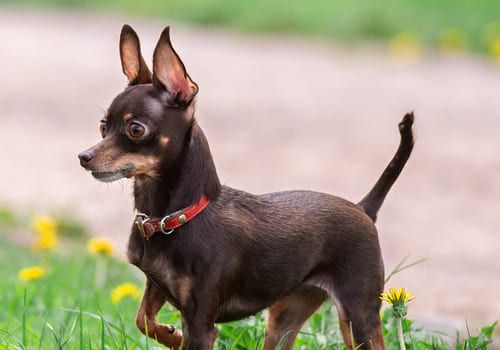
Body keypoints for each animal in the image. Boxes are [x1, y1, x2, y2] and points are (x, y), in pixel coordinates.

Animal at [77, 25, 414, 350]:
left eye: (135, 129)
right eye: (103, 126)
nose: (84, 157)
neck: (178, 215)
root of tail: (363, 207)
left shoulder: (201, 325)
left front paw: (173, 336)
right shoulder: (156, 285)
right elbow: (142, 319)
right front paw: (171, 335)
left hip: (358, 317)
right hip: (285, 316)